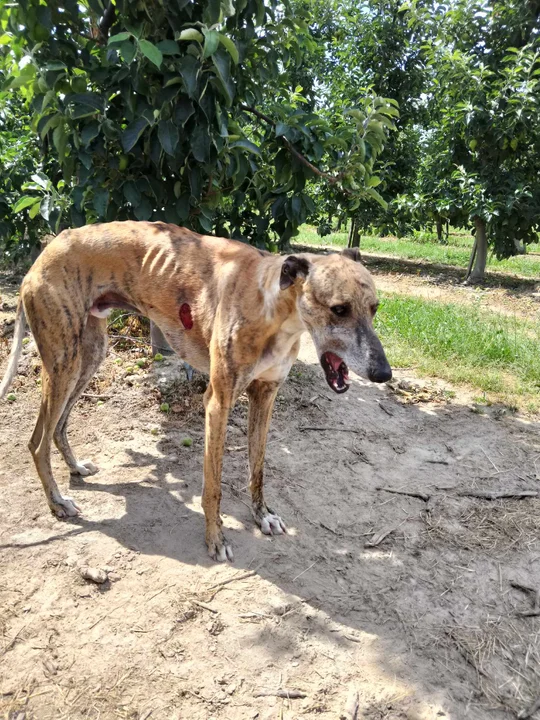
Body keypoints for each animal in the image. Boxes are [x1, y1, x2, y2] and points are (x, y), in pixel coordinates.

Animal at [0, 221, 391, 561]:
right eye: (339, 309)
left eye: (375, 308)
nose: (383, 373)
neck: (274, 307)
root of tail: (44, 253)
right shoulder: (218, 402)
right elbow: (213, 486)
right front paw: (216, 539)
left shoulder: (265, 396)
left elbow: (258, 468)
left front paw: (262, 515)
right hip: (63, 362)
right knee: (36, 441)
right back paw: (57, 502)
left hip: (90, 354)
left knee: (57, 427)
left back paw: (76, 467)